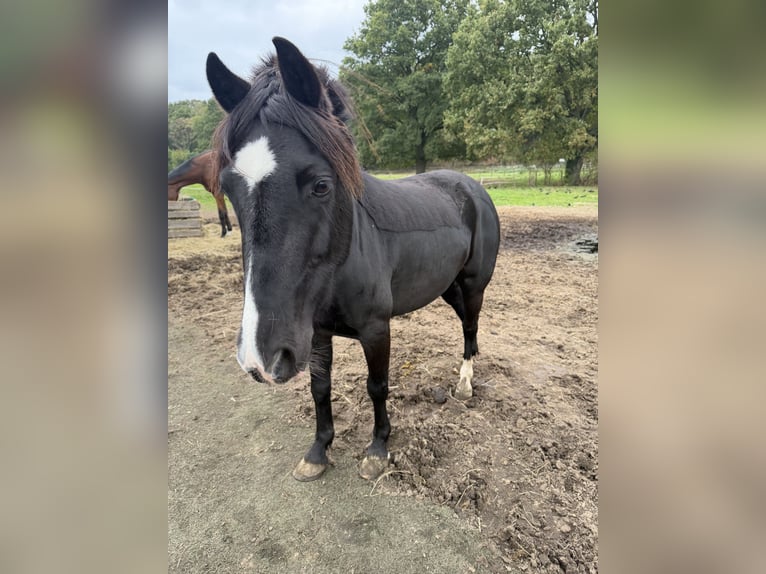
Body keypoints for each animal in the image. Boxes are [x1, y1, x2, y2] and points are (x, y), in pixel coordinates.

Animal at [206, 37, 500, 482]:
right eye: (228, 187)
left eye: (321, 185)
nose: (259, 359)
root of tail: (472, 186)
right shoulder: (315, 332)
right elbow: (319, 388)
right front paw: (318, 451)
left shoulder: (377, 329)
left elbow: (376, 386)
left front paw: (378, 449)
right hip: (447, 286)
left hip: (472, 284)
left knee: (469, 326)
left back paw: (465, 384)